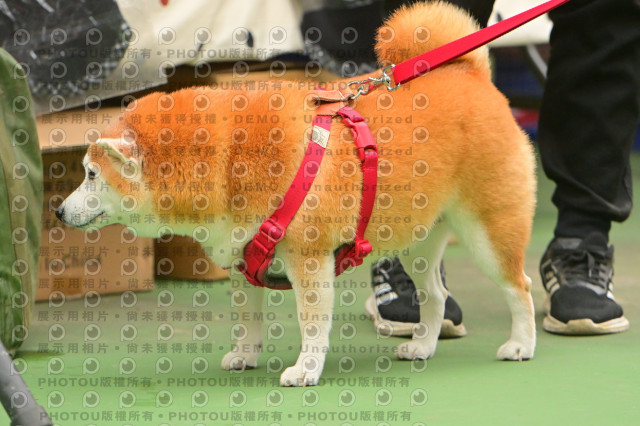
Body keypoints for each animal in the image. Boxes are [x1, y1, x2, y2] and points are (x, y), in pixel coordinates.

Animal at [57, 1, 537, 386]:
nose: (59, 211)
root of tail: (470, 73)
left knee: (520, 286)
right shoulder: (242, 260)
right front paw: (245, 356)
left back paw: (521, 345)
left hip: (489, 233)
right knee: (434, 296)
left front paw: (306, 370)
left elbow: (311, 324)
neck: (228, 160)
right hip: (416, 241)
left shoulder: (310, 260)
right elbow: (247, 320)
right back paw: (422, 346)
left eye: (92, 175)